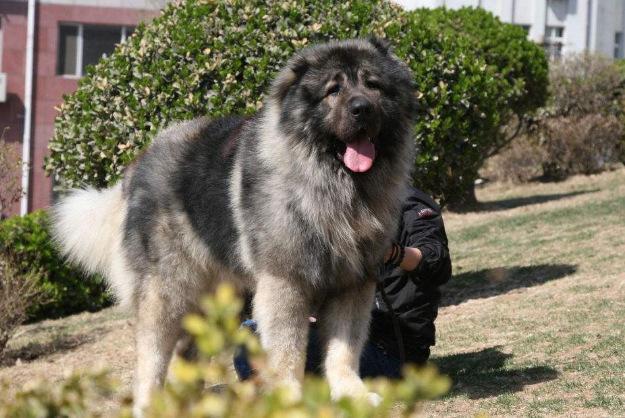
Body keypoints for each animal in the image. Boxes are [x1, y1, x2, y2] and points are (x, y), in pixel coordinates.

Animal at [52, 38, 414, 414]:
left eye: (373, 85)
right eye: (334, 90)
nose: (362, 109)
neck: (333, 186)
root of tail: (138, 166)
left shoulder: (353, 282)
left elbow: (344, 348)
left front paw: (351, 393)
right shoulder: (286, 283)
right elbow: (288, 352)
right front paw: (291, 400)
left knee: (187, 354)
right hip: (166, 291)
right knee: (152, 357)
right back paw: (150, 404)